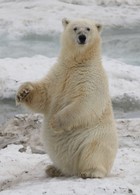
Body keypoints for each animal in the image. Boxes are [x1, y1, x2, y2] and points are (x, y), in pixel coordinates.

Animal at [15, 18, 117, 178]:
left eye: (88, 29)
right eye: (75, 28)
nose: (82, 37)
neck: (76, 62)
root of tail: (73, 169)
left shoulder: (91, 78)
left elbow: (85, 102)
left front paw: (54, 122)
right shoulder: (58, 75)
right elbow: (44, 95)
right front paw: (23, 92)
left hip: (97, 137)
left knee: (94, 152)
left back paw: (90, 172)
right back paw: (53, 169)